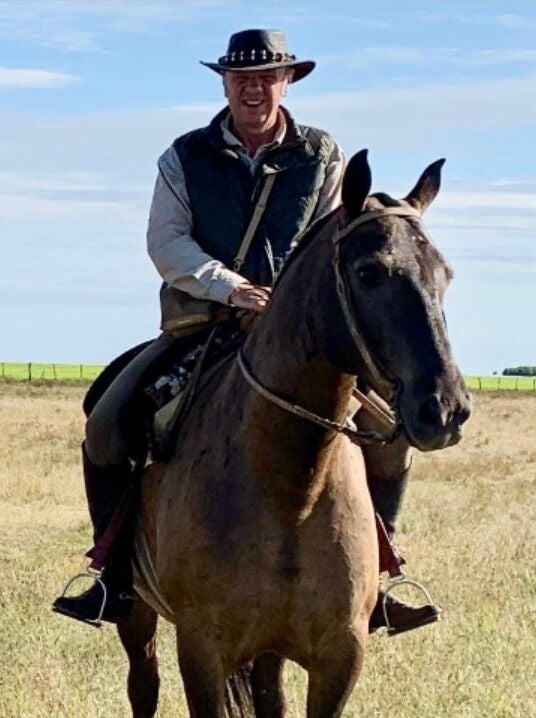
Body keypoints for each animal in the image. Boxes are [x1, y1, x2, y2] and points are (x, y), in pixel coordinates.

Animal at [116, 149, 468, 716]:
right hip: (136, 616)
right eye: (369, 272)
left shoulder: (340, 656)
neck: (289, 486)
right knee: (143, 682)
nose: (445, 409)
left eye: (445, 273)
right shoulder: (201, 650)